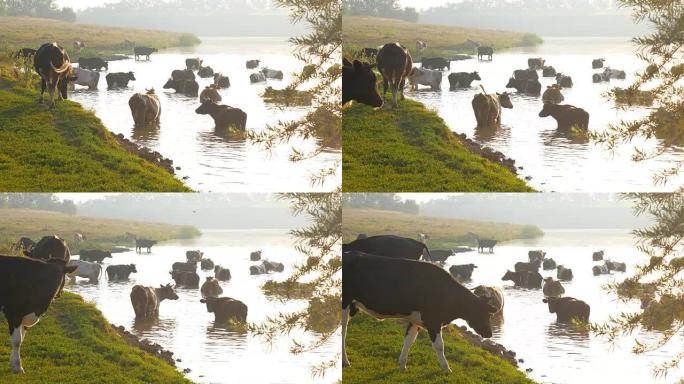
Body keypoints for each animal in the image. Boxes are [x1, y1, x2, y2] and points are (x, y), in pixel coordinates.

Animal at [342, 249, 496, 372]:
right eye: (484, 314)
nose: (489, 333)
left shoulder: (416, 320)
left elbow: (409, 341)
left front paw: (402, 365)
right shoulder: (433, 320)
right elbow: (439, 346)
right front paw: (446, 368)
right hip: (344, 303)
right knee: (343, 331)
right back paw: (345, 361)